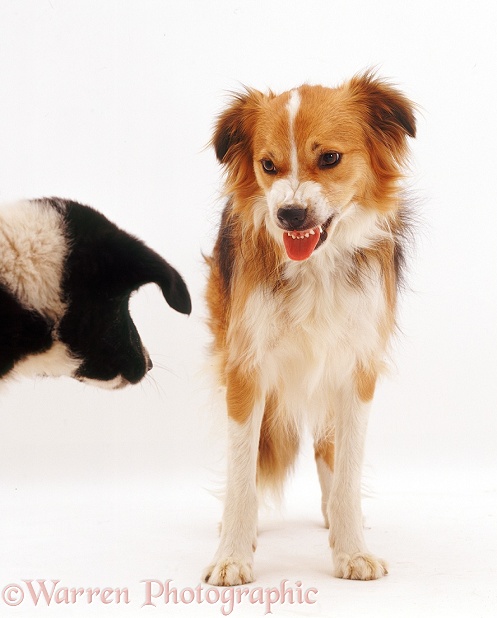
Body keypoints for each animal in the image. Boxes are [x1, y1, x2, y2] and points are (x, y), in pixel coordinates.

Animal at [203, 72, 416, 584]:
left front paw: (352, 550)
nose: (290, 215)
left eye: (330, 159)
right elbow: (242, 472)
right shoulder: (245, 367)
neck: (316, 266)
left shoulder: (357, 368)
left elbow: (348, 469)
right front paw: (232, 554)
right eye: (268, 165)